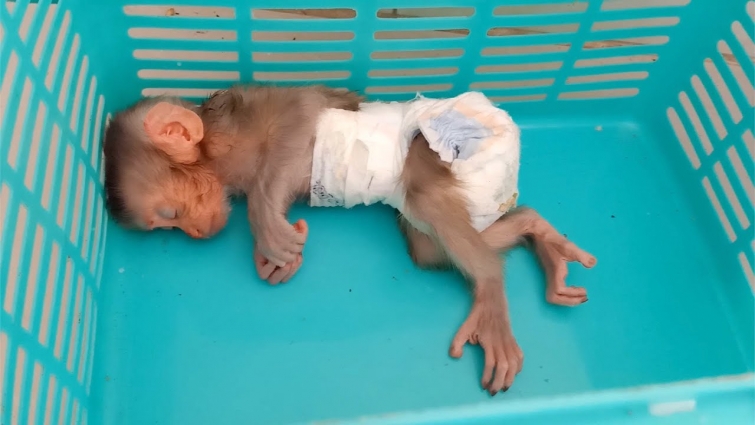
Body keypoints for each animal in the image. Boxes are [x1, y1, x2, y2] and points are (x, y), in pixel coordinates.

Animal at [103, 85, 597, 395]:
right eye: (168, 227)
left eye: (171, 214)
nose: (195, 232)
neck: (216, 152)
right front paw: (274, 259)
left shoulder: (246, 122)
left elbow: (301, 113)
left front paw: (265, 225)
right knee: (430, 246)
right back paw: (539, 234)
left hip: (453, 143)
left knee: (427, 200)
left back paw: (491, 288)